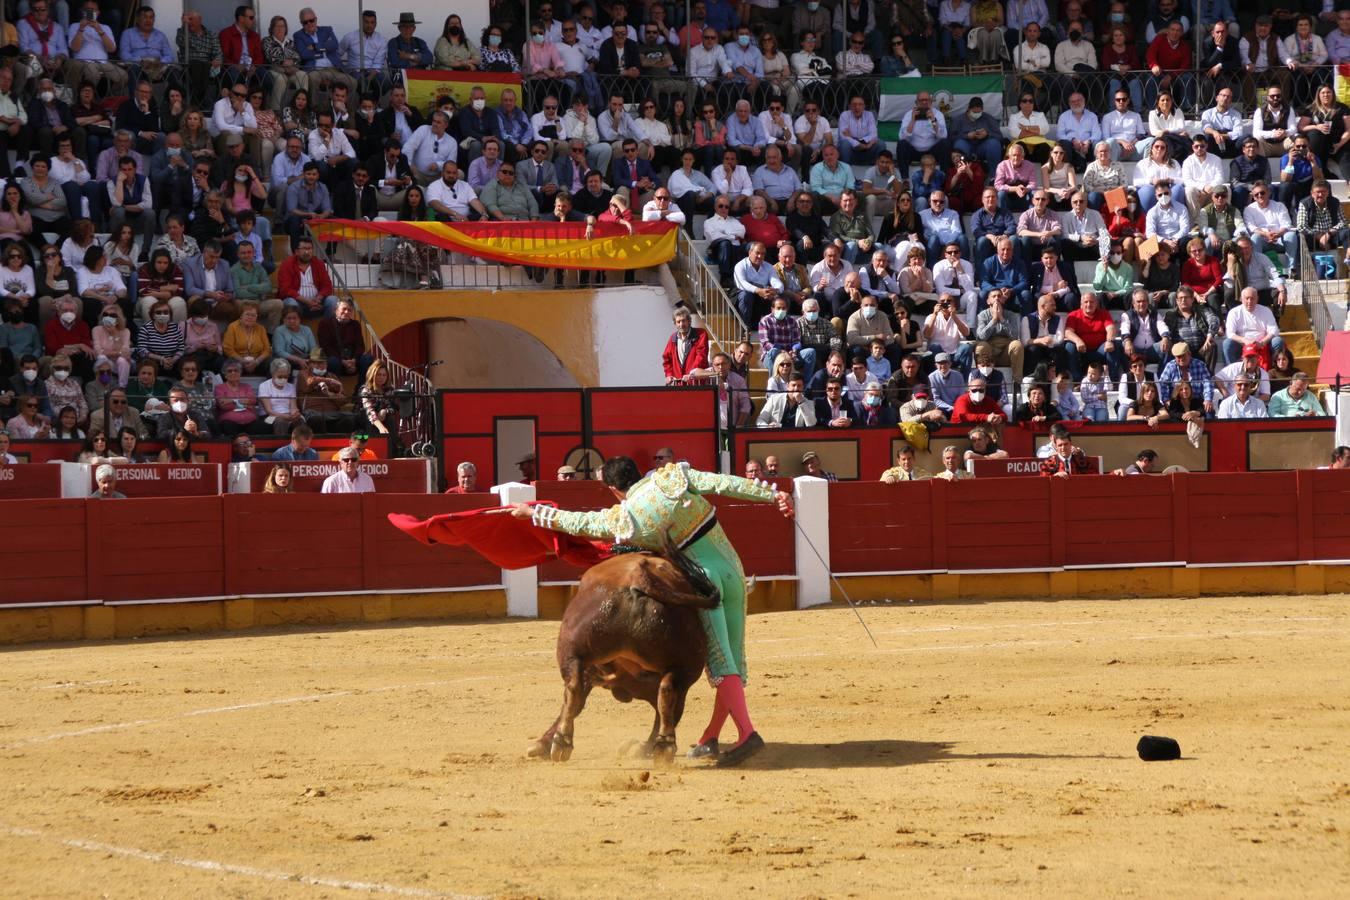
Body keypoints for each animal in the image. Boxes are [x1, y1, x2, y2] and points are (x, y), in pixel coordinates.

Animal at [523, 545, 718, 766]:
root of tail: (639, 576)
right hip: (684, 664)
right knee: (667, 693)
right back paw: (662, 745)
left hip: (572, 650)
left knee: (573, 689)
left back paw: (564, 742)